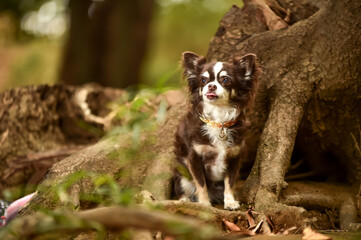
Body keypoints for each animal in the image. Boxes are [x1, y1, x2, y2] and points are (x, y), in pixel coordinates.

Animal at [172, 51, 258, 210]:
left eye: (226, 80)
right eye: (203, 80)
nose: (211, 86)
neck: (219, 122)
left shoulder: (234, 158)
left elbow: (230, 182)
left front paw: (230, 202)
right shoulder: (194, 157)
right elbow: (201, 183)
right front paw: (204, 203)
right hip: (182, 175)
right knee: (182, 189)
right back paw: (184, 200)